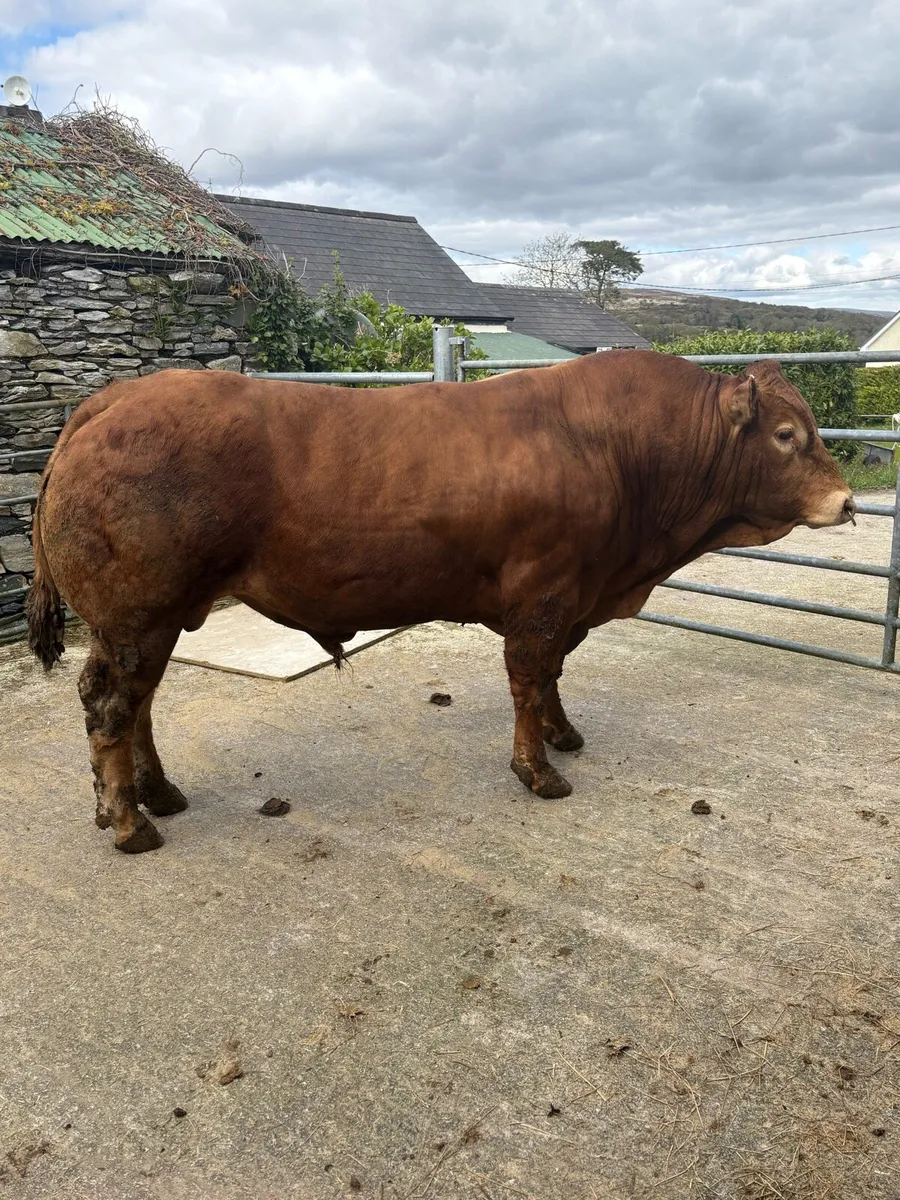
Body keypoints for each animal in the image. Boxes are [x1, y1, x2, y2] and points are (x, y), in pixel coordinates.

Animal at [27, 350, 855, 854]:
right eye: (787, 434)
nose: (847, 501)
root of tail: (108, 402)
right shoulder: (544, 596)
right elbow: (528, 678)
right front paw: (539, 770)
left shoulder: (569, 599)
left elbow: (552, 678)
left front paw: (562, 734)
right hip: (137, 614)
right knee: (110, 704)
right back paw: (129, 821)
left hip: (150, 618)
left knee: (137, 705)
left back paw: (156, 794)